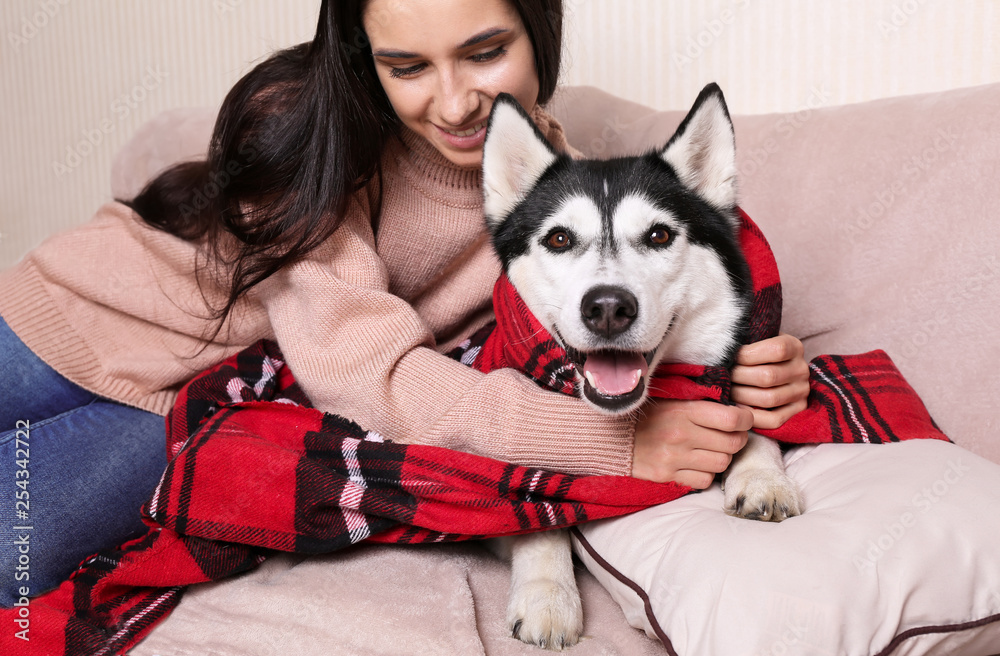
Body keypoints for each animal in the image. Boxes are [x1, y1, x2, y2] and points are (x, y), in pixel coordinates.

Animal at [480, 83, 800, 652]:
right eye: (559, 238)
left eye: (658, 236)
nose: (608, 307)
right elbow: (535, 505)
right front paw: (547, 594)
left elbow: (753, 419)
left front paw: (763, 475)